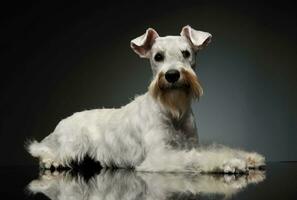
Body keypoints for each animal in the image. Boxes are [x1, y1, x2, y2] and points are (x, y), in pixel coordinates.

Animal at [26, 25, 264, 173]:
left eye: (186, 53)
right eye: (158, 57)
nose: (172, 75)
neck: (173, 112)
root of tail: (61, 123)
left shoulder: (190, 144)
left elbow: (211, 149)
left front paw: (248, 158)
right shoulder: (162, 155)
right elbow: (196, 158)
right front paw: (231, 162)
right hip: (70, 145)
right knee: (43, 150)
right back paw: (51, 161)